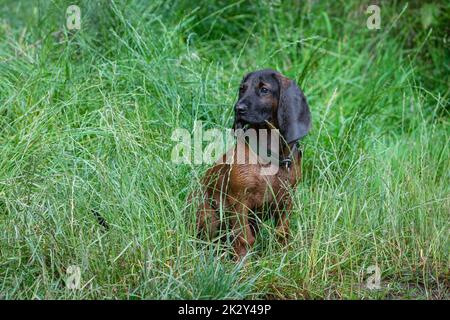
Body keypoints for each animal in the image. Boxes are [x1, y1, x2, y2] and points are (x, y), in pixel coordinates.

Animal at [195, 69, 312, 258]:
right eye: (242, 89)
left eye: (264, 89)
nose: (238, 108)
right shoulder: (239, 202)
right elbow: (244, 239)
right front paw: (243, 264)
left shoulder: (287, 199)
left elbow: (282, 233)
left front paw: (283, 258)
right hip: (209, 215)